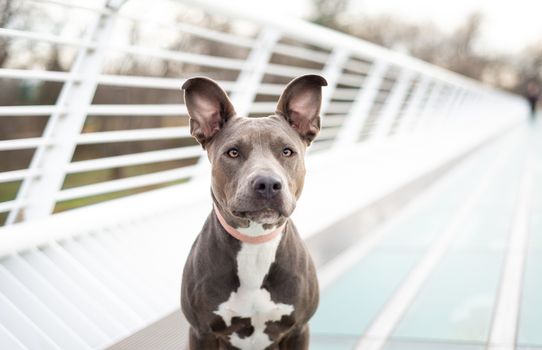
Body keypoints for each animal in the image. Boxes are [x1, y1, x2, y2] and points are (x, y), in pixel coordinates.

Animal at [182, 74, 328, 350]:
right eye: (233, 152)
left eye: (287, 151)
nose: (268, 184)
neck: (255, 243)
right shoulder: (201, 332)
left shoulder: (298, 329)